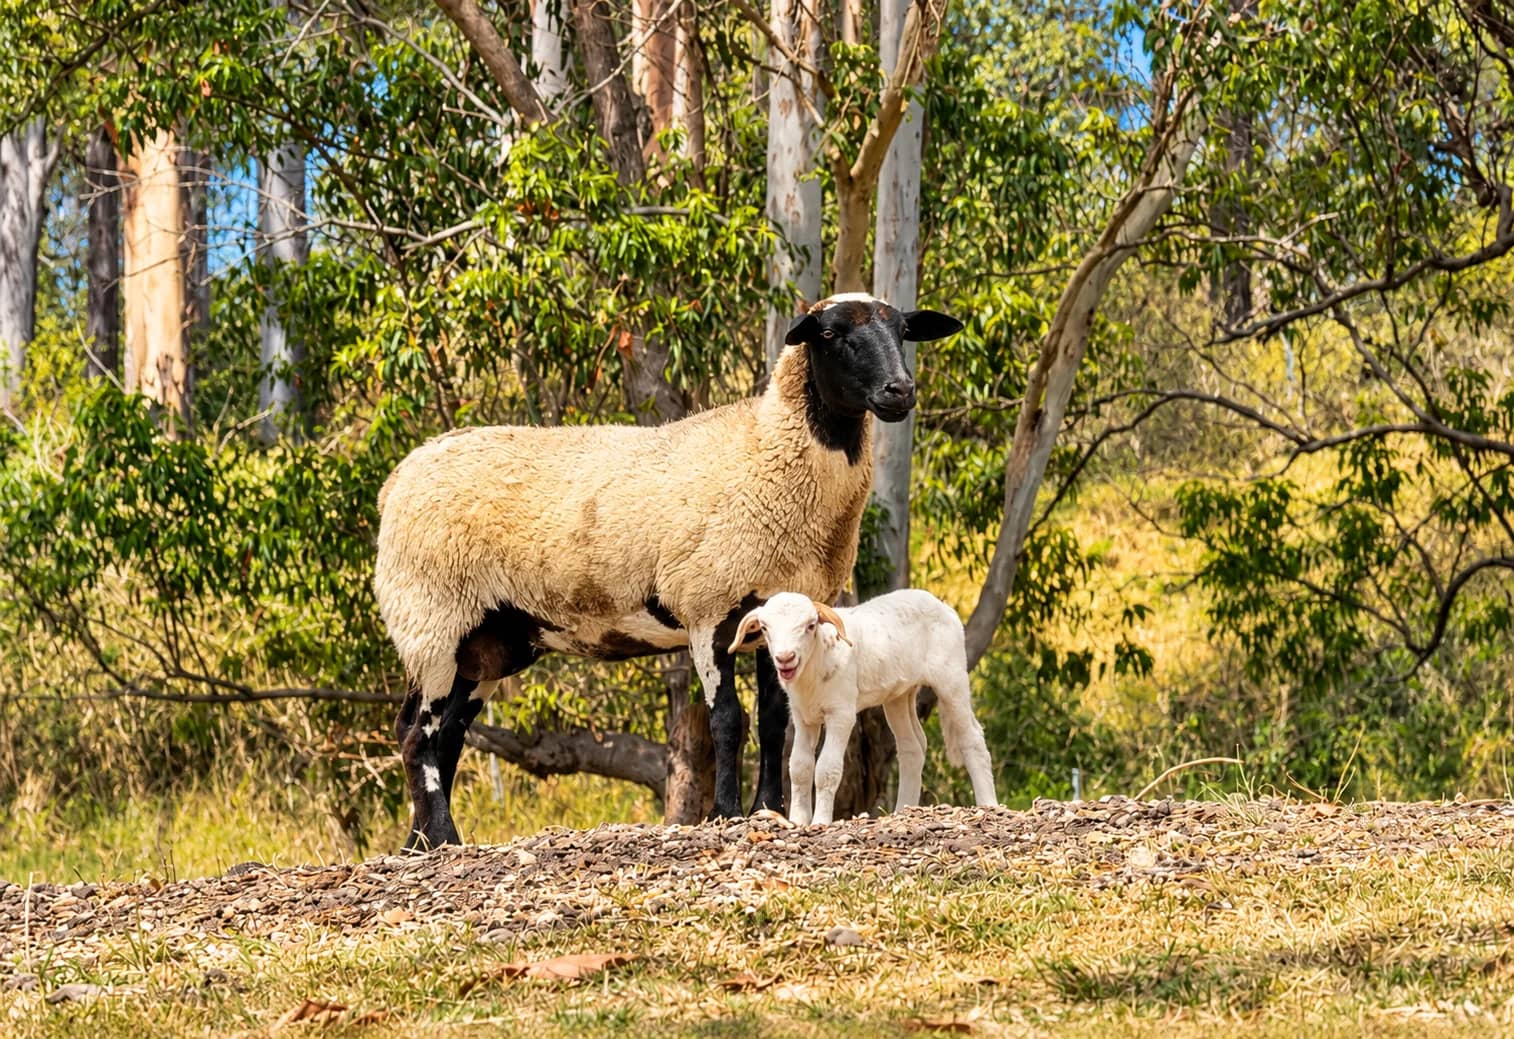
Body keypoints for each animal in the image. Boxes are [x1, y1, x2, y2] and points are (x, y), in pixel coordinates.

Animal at [373, 294, 964, 850]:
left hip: (488, 642)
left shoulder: (777, 611)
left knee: (448, 735)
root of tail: (401, 474)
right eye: (830, 334)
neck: (765, 448)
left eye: (902, 330)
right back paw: (442, 838)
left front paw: (767, 808)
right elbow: (728, 720)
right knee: (415, 732)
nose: (898, 391)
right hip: (431, 618)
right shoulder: (707, 605)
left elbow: (773, 721)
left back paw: (419, 842)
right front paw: (726, 812)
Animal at [727, 590, 998, 825]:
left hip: (951, 676)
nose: (785, 658)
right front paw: (798, 821)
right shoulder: (803, 717)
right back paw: (903, 809)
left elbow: (827, 769)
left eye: (811, 626)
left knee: (972, 738)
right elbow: (799, 768)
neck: (816, 663)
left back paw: (988, 804)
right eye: (764, 628)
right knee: (912, 747)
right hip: (899, 693)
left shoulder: (841, 713)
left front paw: (820, 822)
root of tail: (943, 606)